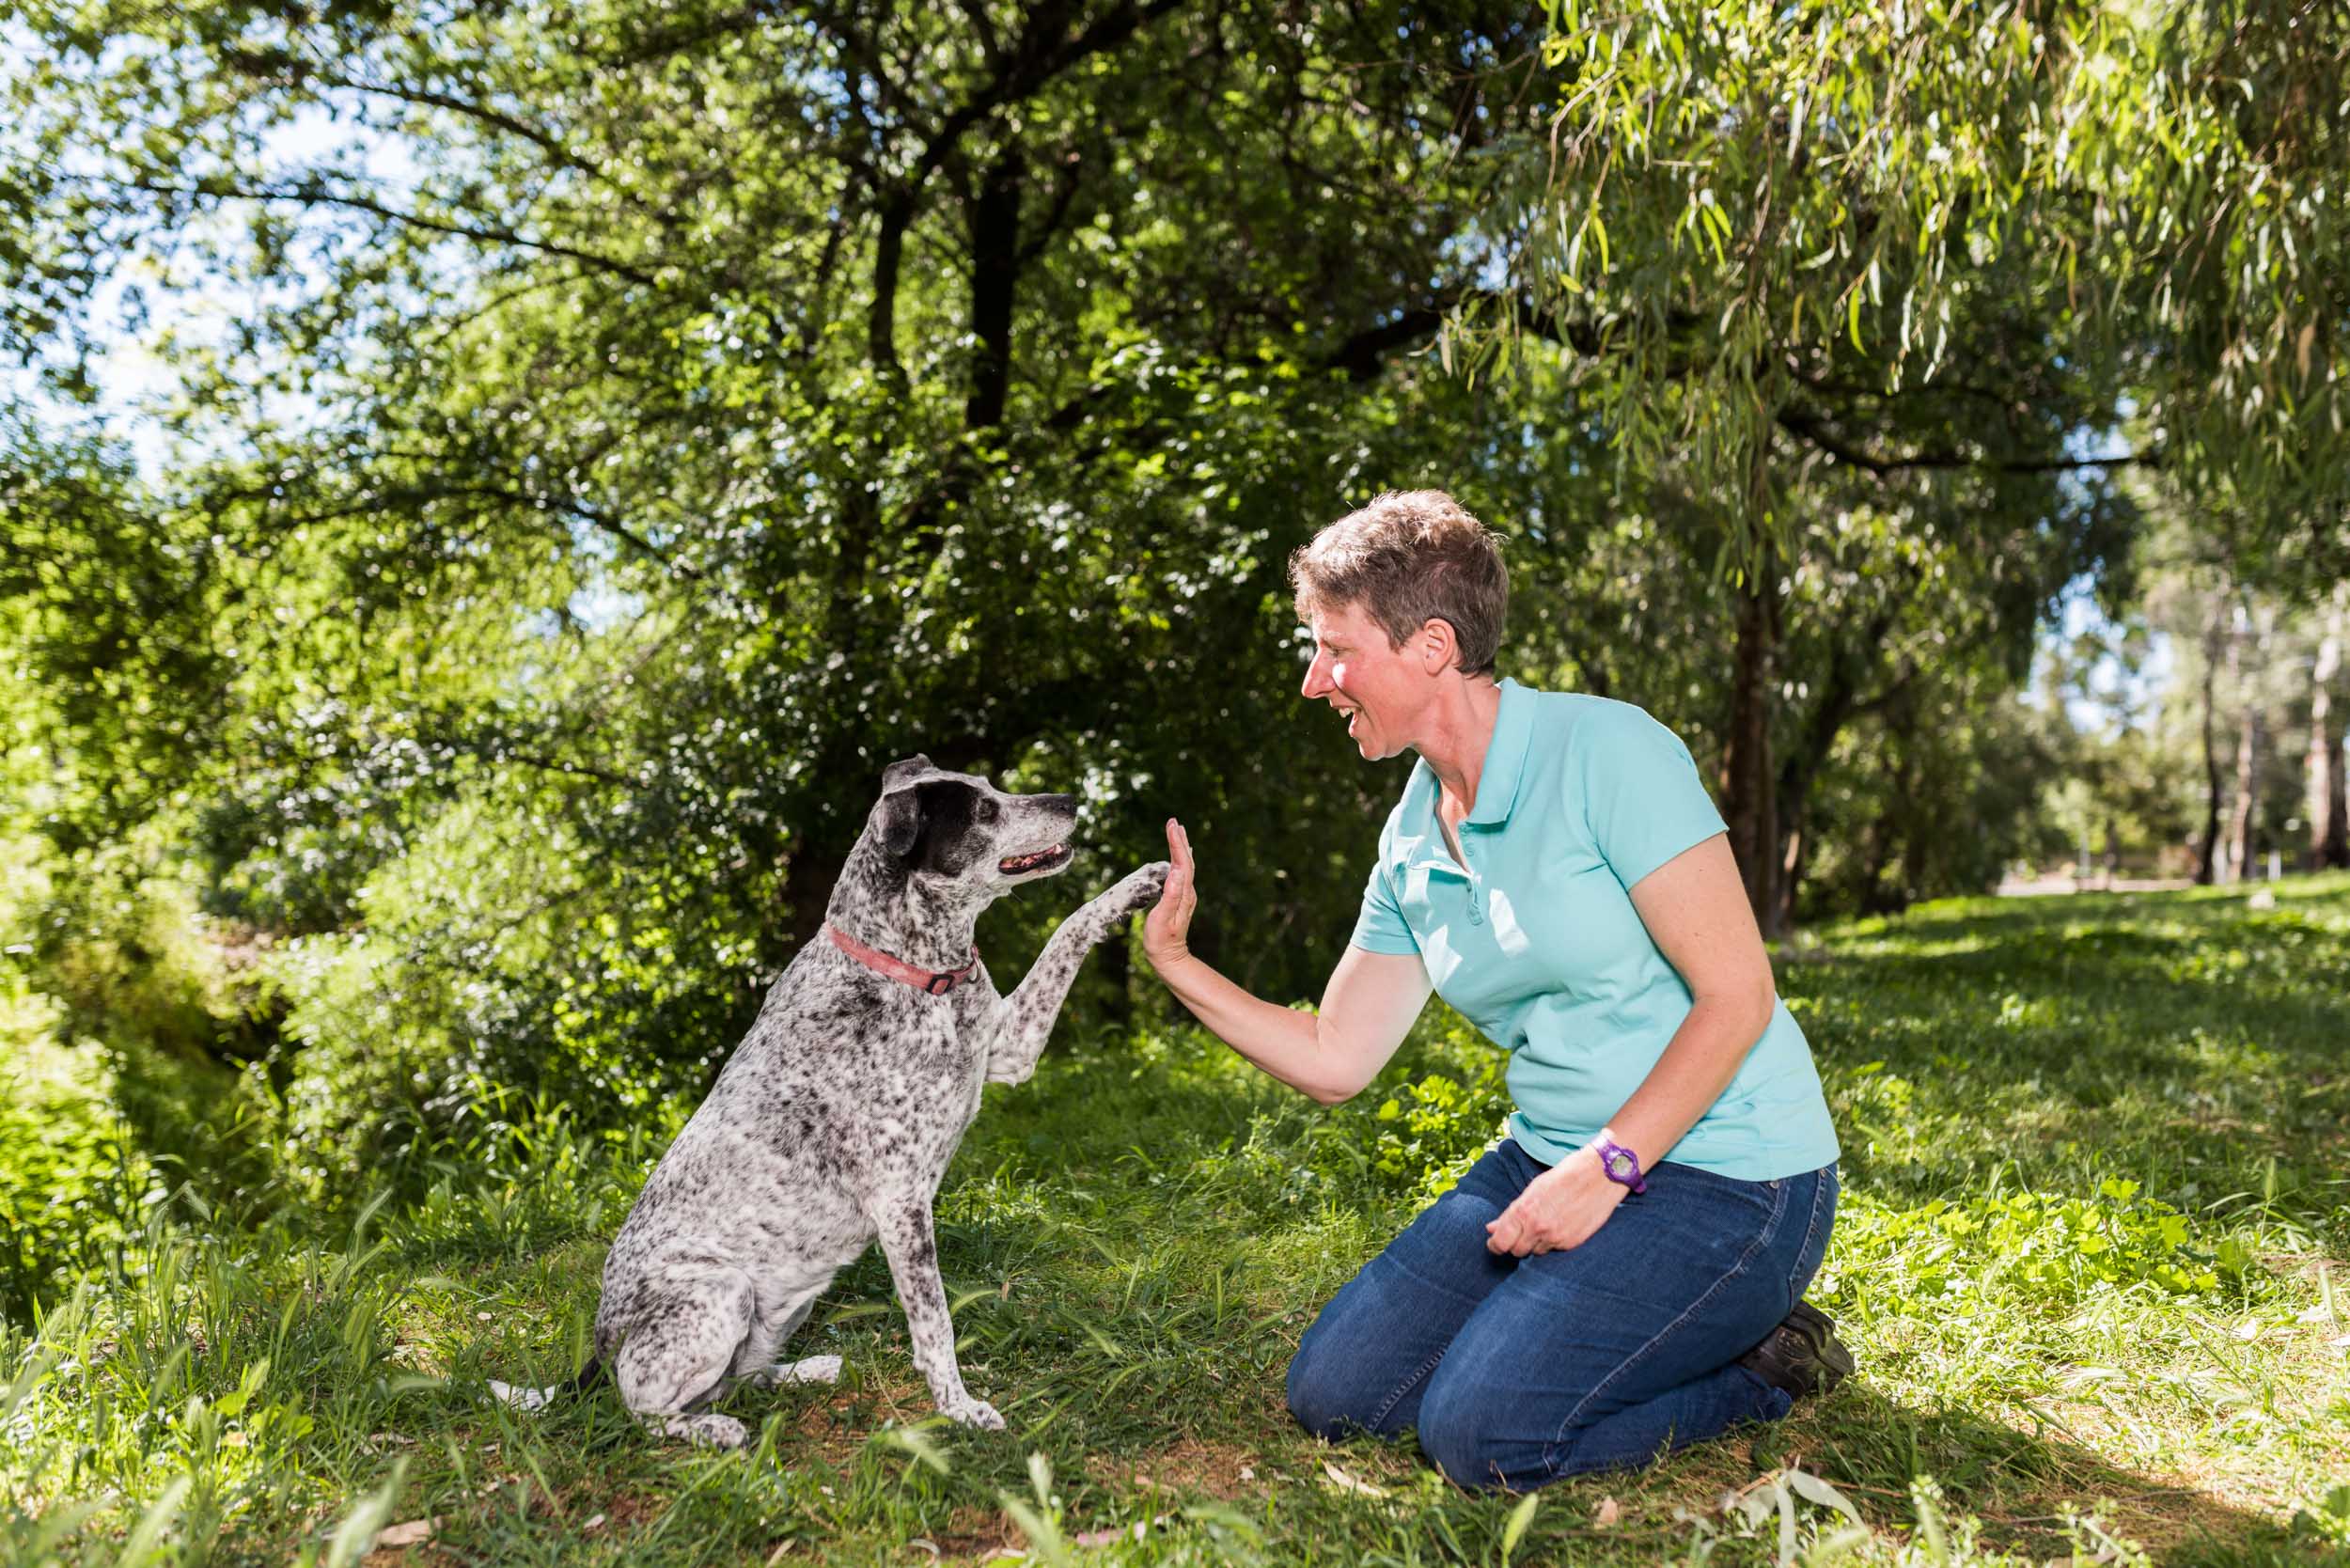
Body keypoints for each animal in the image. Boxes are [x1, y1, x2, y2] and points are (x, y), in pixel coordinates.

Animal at [491, 757, 1170, 1448]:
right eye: (984, 810)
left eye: (993, 786)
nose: (1070, 798)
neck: (913, 971)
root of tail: (600, 1352)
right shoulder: (902, 1203)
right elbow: (935, 1325)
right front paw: (959, 1408)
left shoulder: (1011, 1046)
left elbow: (1068, 929)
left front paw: (1143, 882)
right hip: (719, 1292)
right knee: (643, 1408)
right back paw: (715, 1431)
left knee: (740, 1377)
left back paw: (808, 1370)